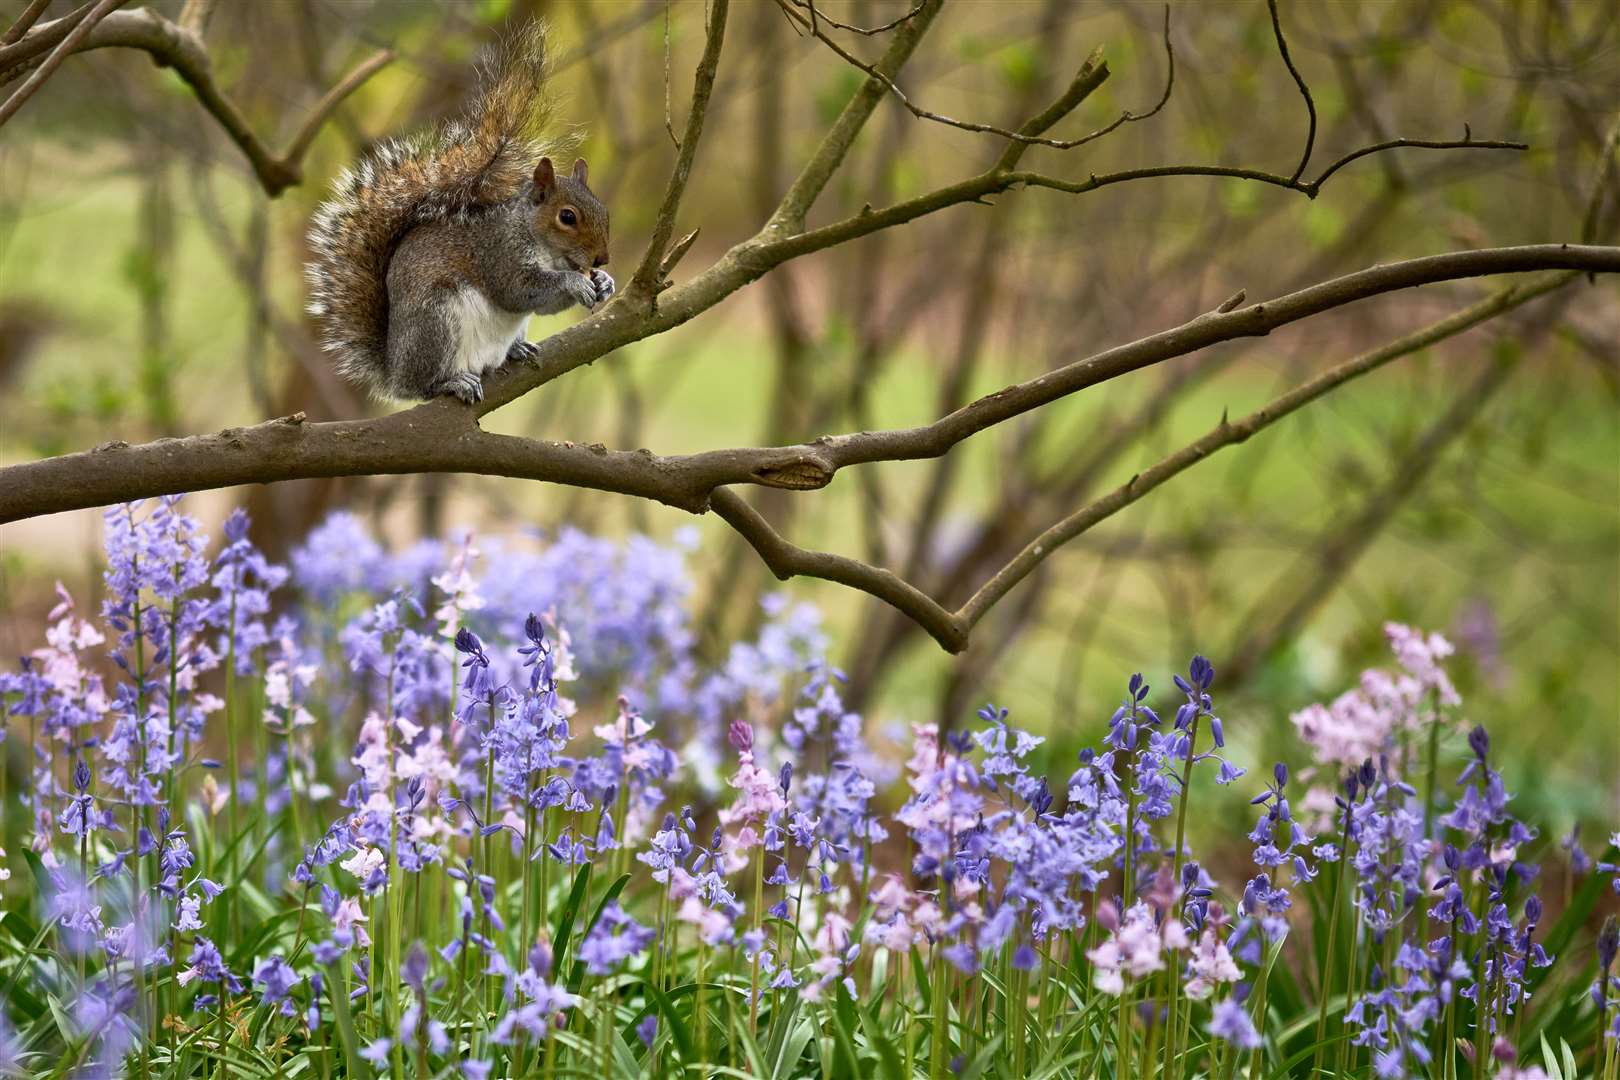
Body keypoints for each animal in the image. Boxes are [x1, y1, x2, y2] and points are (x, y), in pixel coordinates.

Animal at [304, 26, 609, 404]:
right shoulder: (499, 254)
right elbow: (519, 291)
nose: (603, 258)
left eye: (603, 210)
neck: (537, 240)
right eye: (567, 217)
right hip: (437, 322)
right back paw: (452, 382)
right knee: (423, 385)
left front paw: (604, 282)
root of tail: (394, 370)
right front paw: (576, 282)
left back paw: (516, 350)